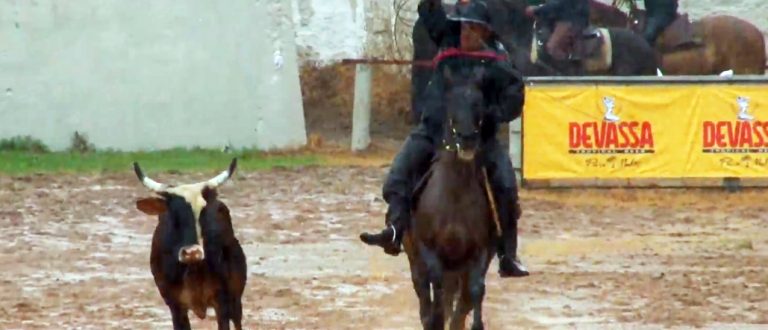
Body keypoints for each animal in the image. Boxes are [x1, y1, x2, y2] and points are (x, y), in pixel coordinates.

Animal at [132, 159, 246, 328]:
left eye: (204, 212)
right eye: (172, 214)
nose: (192, 252)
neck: (193, 269)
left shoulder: (223, 302)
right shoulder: (175, 306)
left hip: (236, 299)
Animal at [404, 65, 500, 330]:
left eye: (479, 103)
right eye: (451, 102)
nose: (467, 139)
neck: (455, 196)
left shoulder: (479, 252)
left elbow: (474, 292)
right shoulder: (429, 250)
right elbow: (434, 291)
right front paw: (435, 319)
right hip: (415, 256)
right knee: (424, 292)